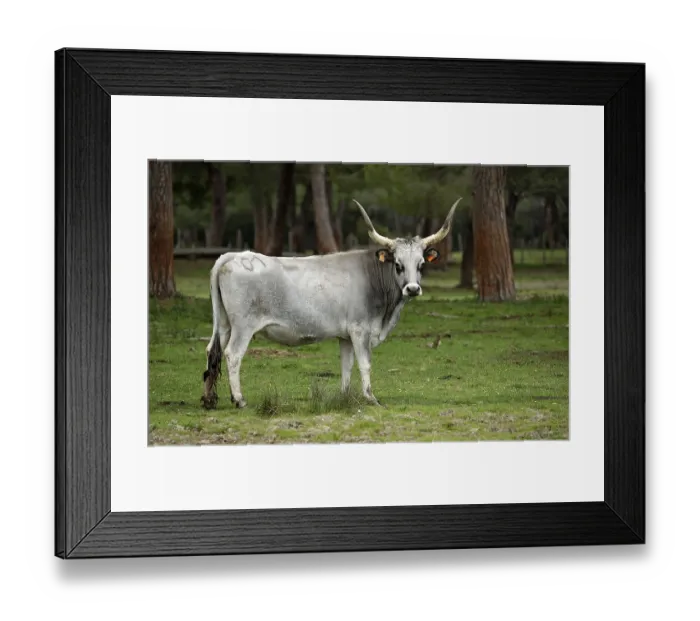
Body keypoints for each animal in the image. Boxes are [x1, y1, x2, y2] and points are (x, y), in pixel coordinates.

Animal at [201, 197, 462, 410]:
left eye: (421, 264)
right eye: (398, 264)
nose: (412, 288)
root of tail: (234, 255)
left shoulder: (345, 336)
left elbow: (346, 367)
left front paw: (345, 397)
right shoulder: (359, 330)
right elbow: (365, 364)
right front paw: (371, 398)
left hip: (224, 324)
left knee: (213, 352)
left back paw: (209, 399)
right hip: (243, 327)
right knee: (233, 354)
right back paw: (238, 399)